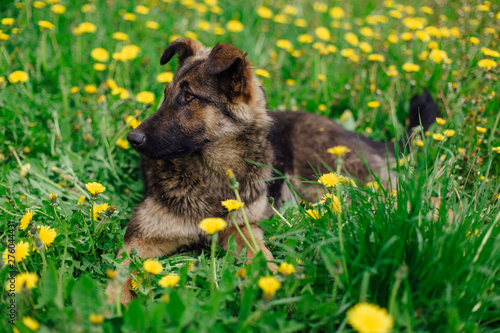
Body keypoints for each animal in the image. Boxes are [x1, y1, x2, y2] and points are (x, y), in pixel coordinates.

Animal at [106, 38, 438, 300]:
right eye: (165, 95)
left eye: (189, 97)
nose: (133, 139)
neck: (211, 174)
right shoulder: (141, 239)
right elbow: (120, 274)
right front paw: (109, 307)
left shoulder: (243, 228)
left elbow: (259, 254)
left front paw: (273, 280)